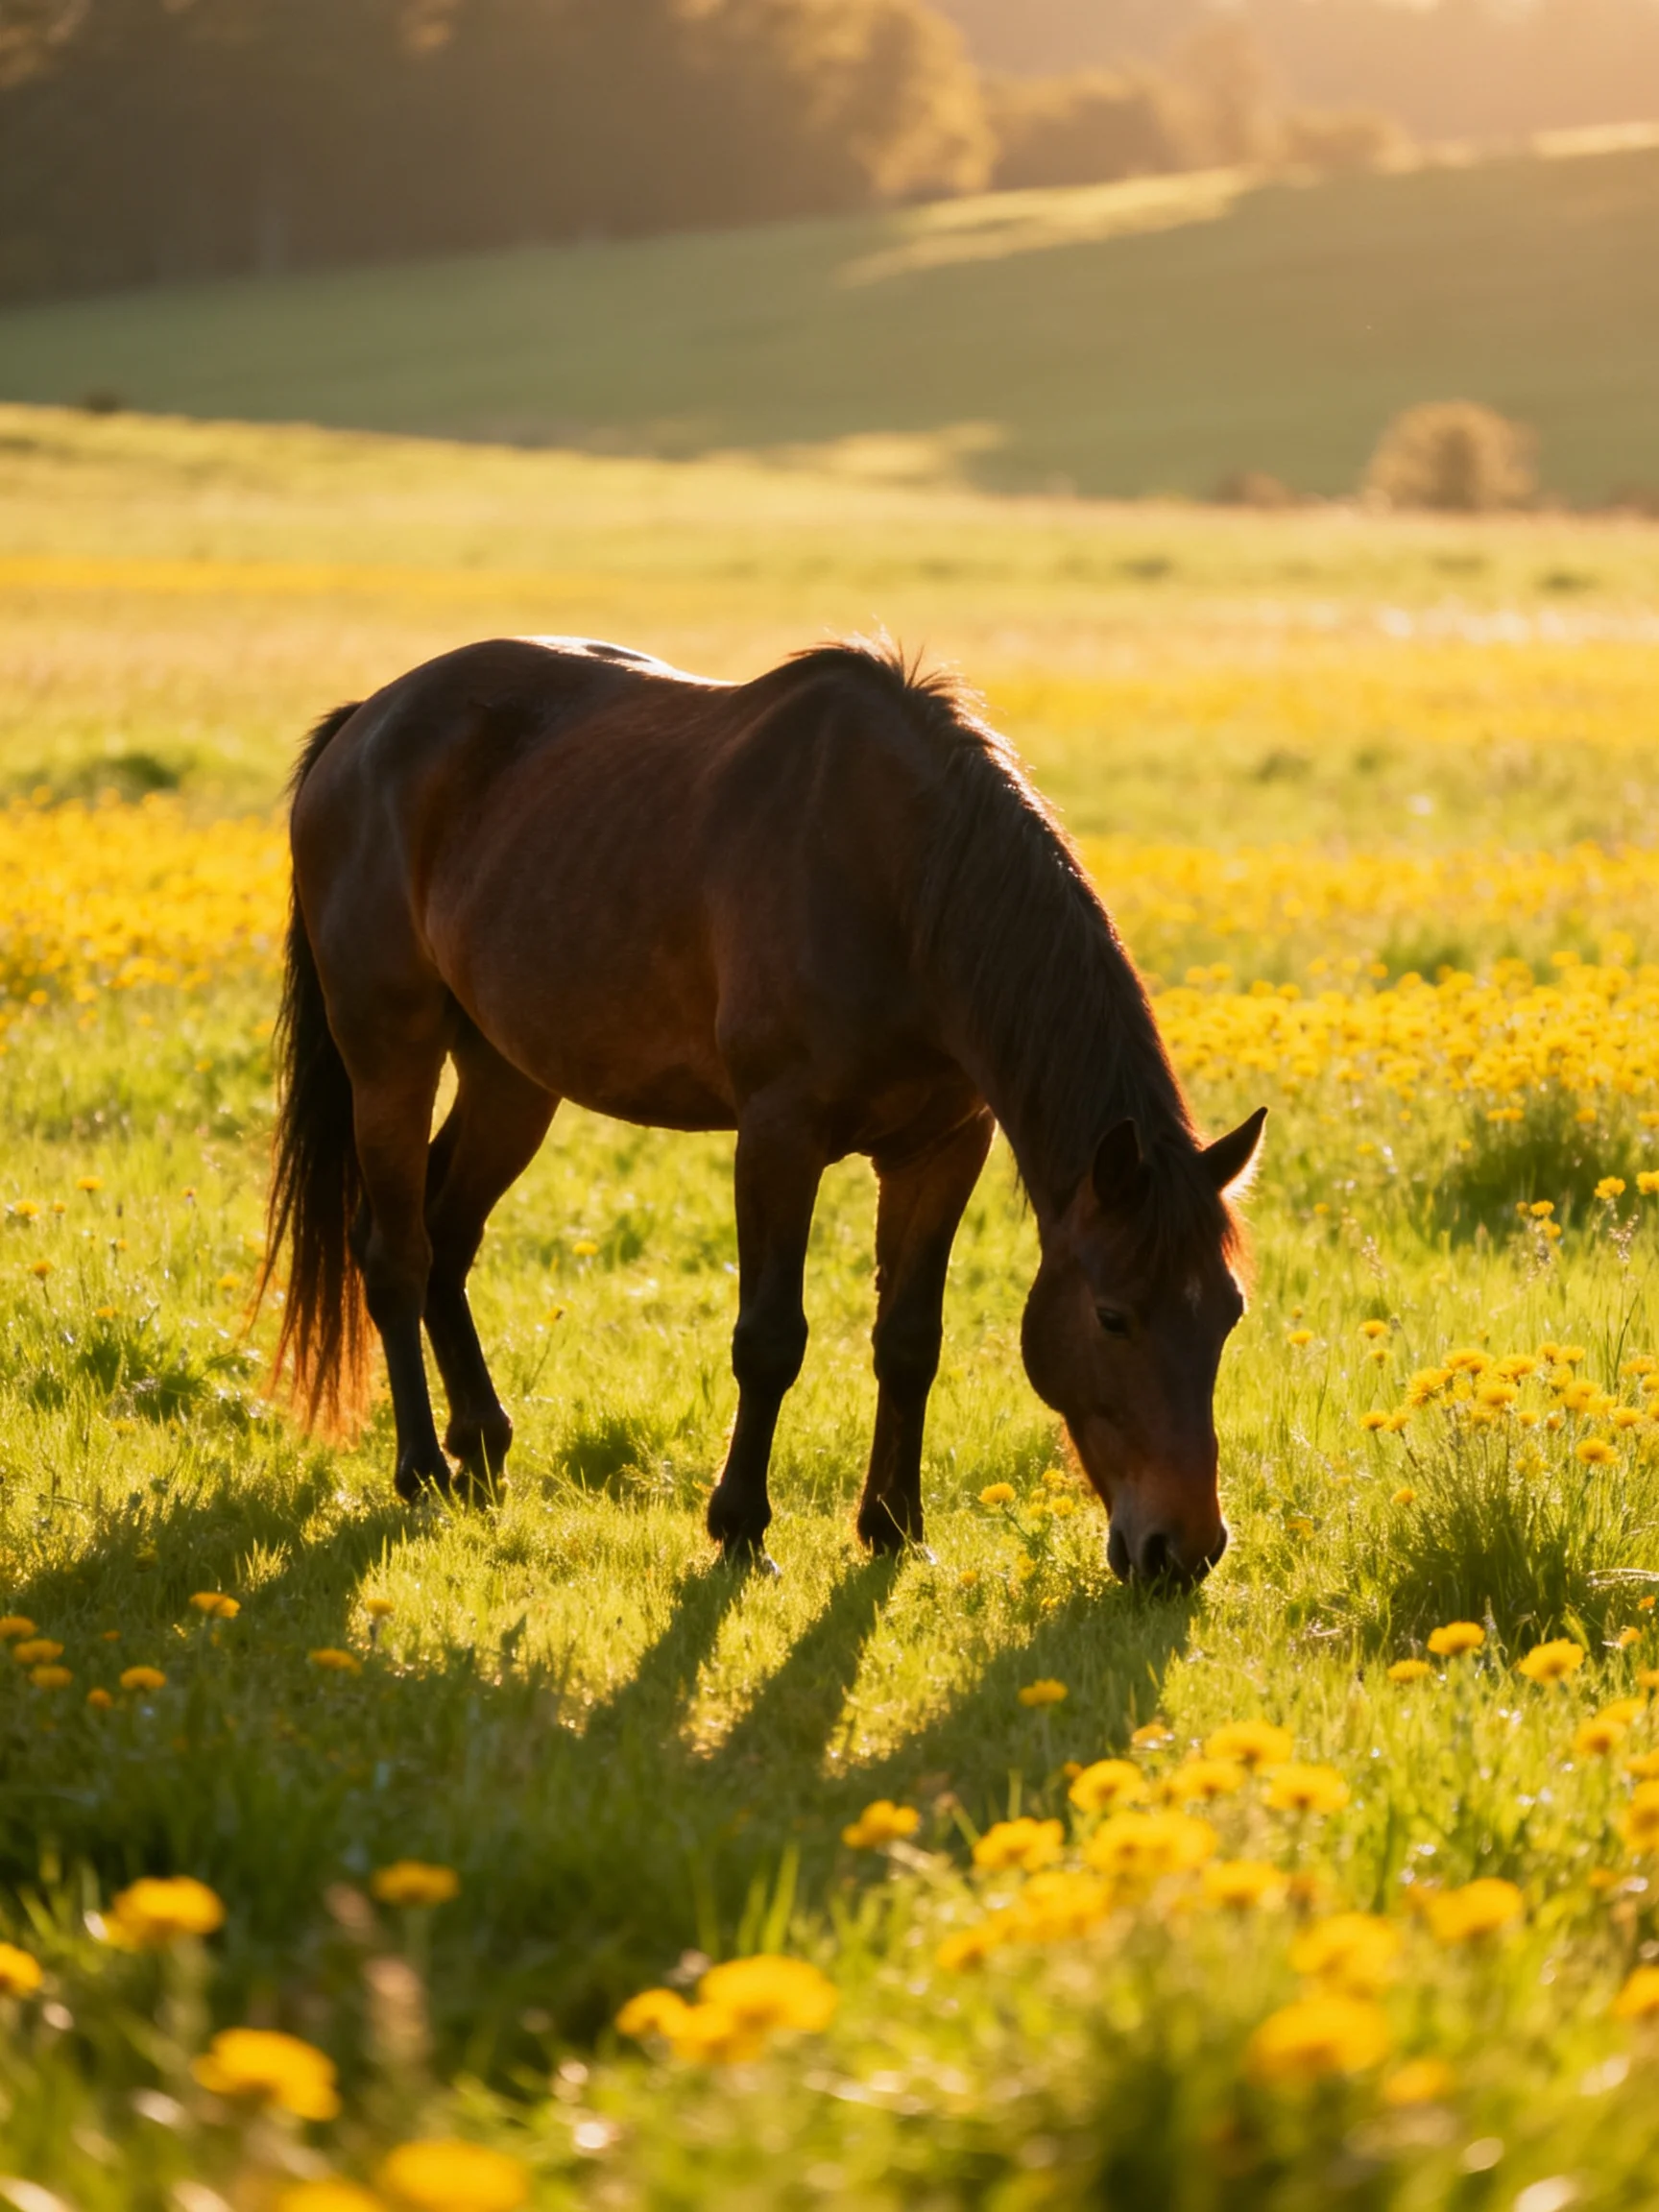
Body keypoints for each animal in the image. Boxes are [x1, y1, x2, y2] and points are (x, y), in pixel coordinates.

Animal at [263, 636, 1264, 1585]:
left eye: (1228, 1314)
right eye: (1113, 1317)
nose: (1183, 1550)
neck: (902, 882)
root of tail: (365, 723)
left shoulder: (944, 1146)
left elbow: (910, 1339)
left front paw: (896, 1530)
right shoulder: (780, 1135)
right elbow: (771, 1339)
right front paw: (741, 1529)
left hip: (512, 1078)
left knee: (449, 1235)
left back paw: (482, 1449)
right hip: (389, 1054)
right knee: (397, 1252)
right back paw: (423, 1470)